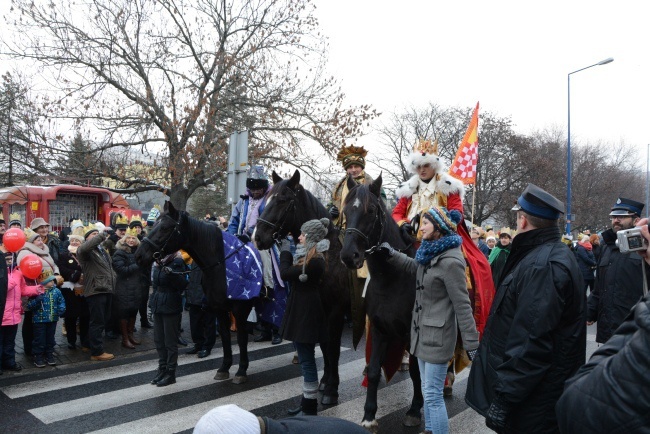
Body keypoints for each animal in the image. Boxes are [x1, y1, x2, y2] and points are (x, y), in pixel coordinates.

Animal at [134, 202, 256, 384]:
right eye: (153, 225)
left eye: (164, 228)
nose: (138, 256)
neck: (222, 265)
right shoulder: (219, 308)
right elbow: (225, 337)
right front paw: (224, 368)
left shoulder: (240, 310)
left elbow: (242, 339)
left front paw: (241, 370)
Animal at [336, 175, 422, 432]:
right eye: (345, 210)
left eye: (371, 210)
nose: (349, 256)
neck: (393, 276)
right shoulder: (379, 328)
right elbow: (374, 371)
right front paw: (368, 416)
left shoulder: (412, 334)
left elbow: (416, 371)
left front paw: (414, 410)